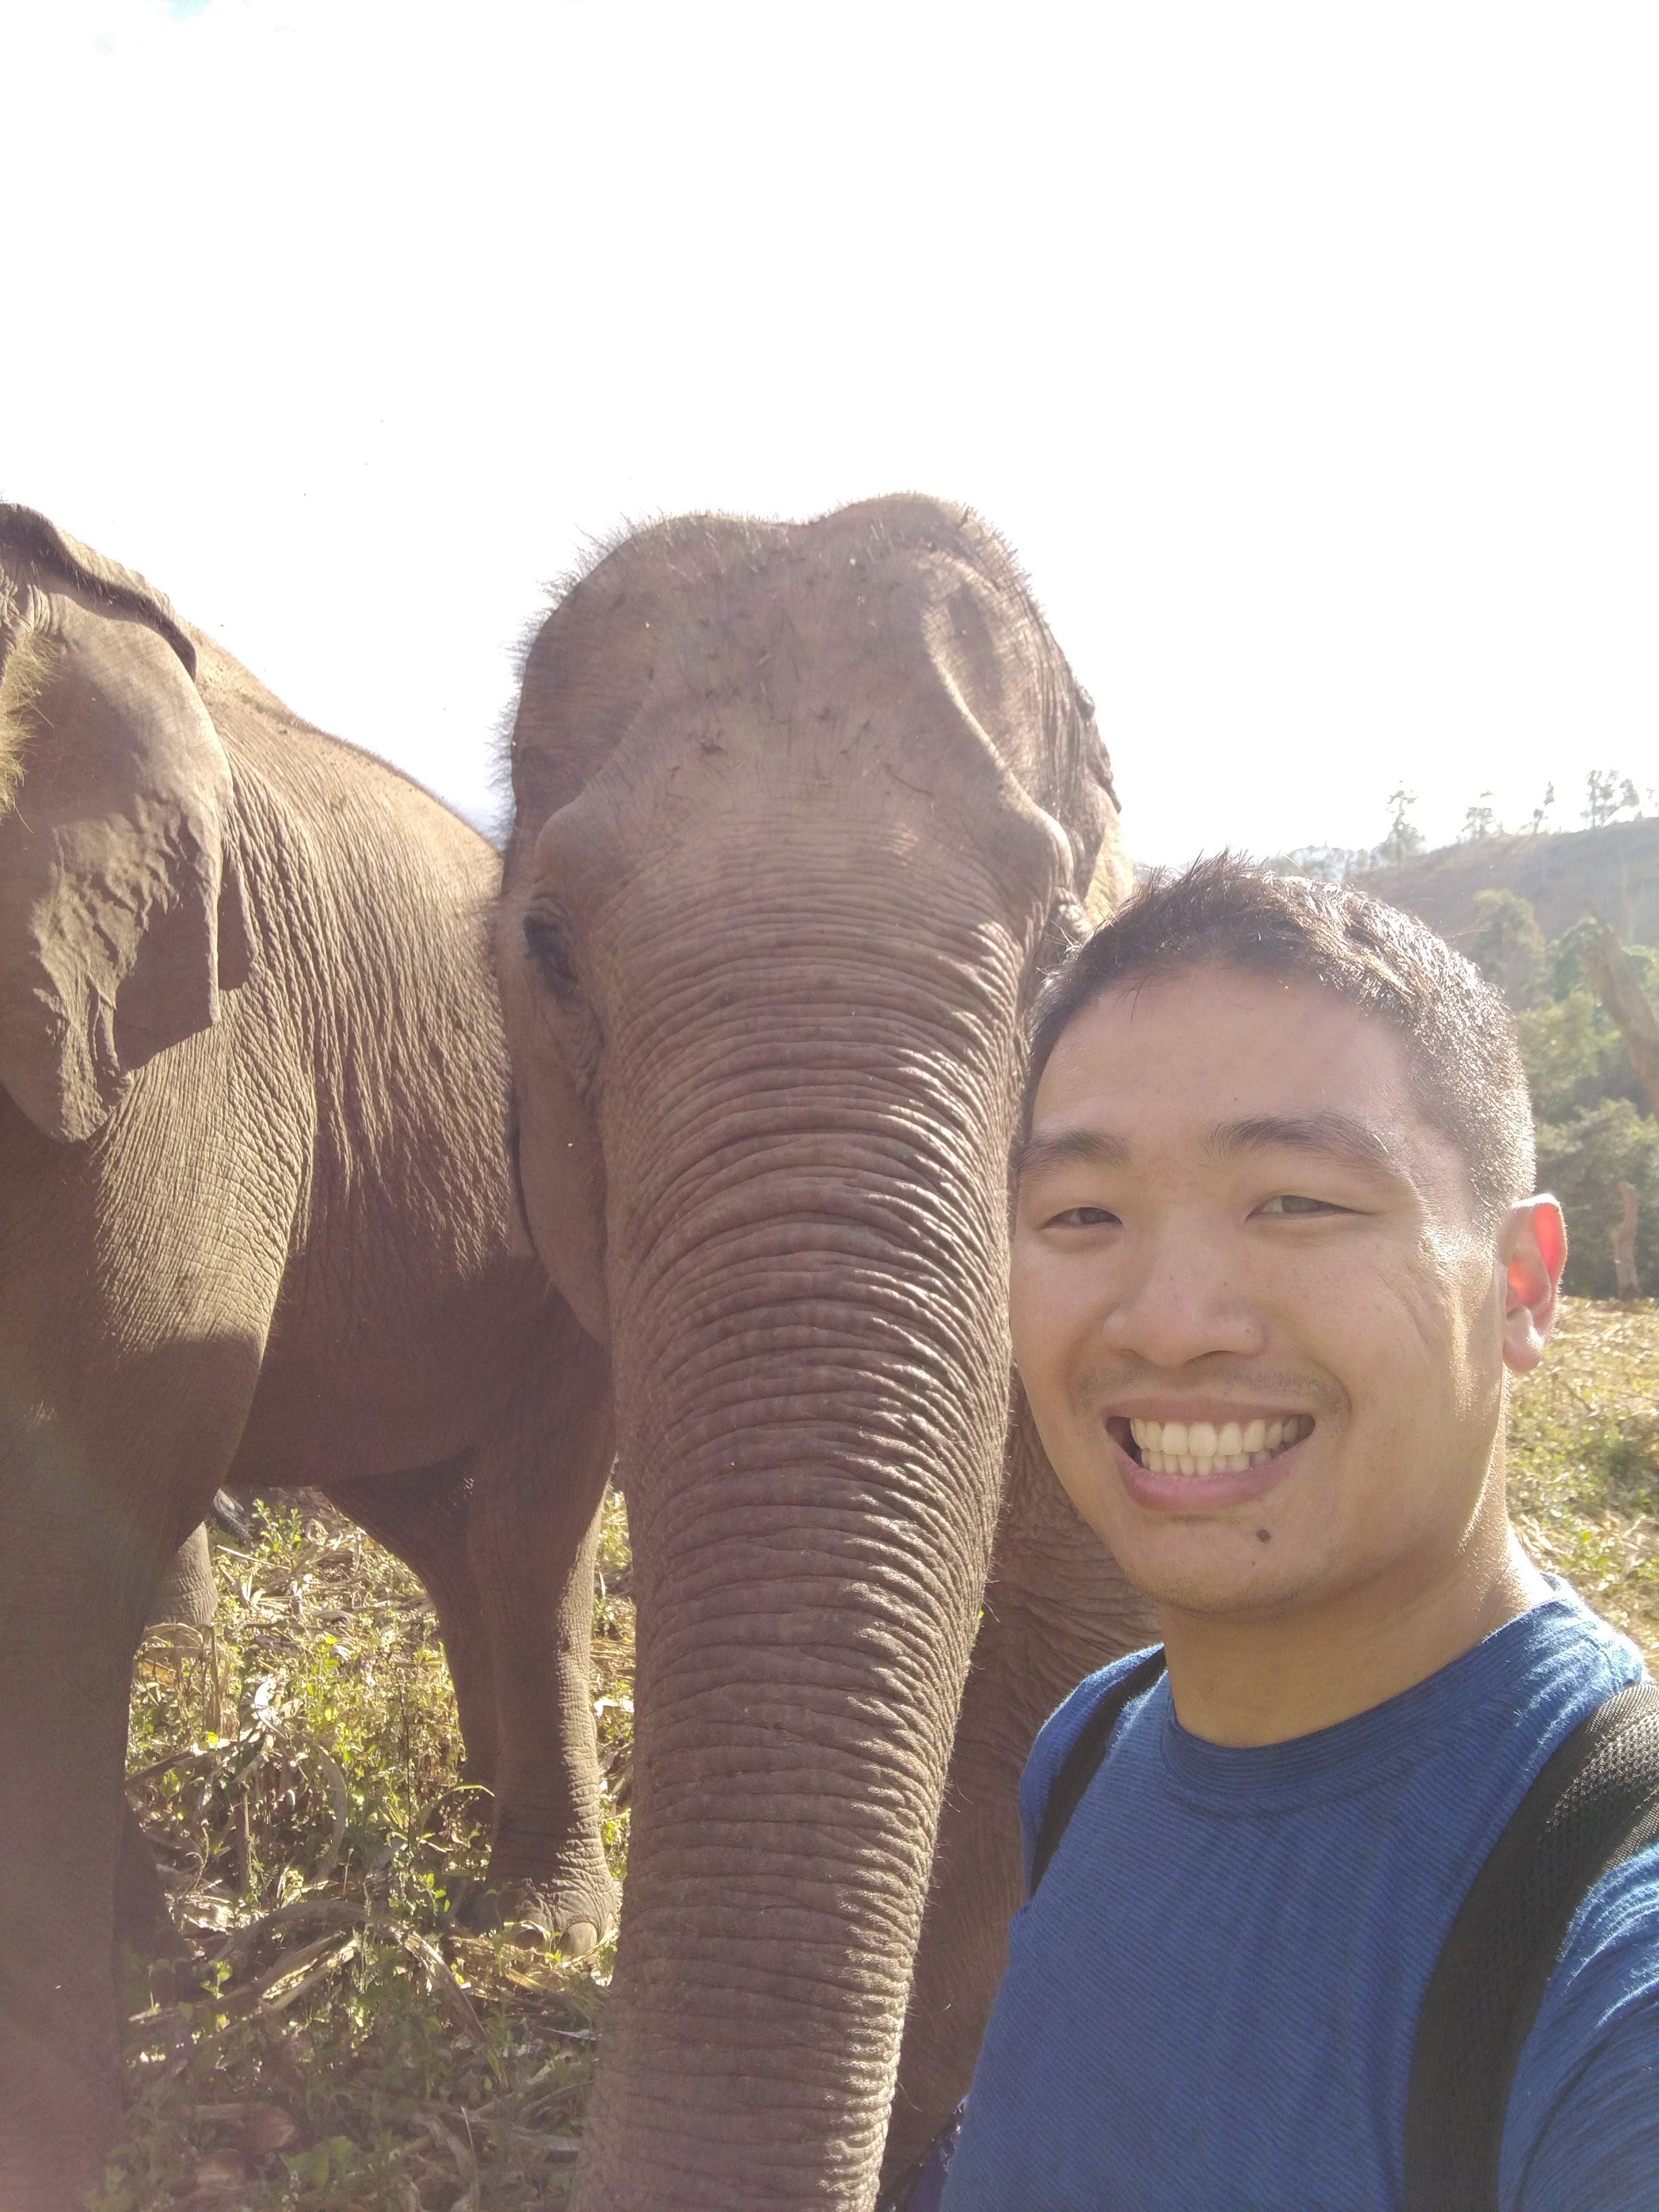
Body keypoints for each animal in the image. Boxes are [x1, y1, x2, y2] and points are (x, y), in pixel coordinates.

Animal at [0, 508, 617, 2212]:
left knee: (530, 1525)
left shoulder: (164, 1062)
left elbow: (75, 1506)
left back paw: (534, 1913)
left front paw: (65, 2118)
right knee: (435, 1517)